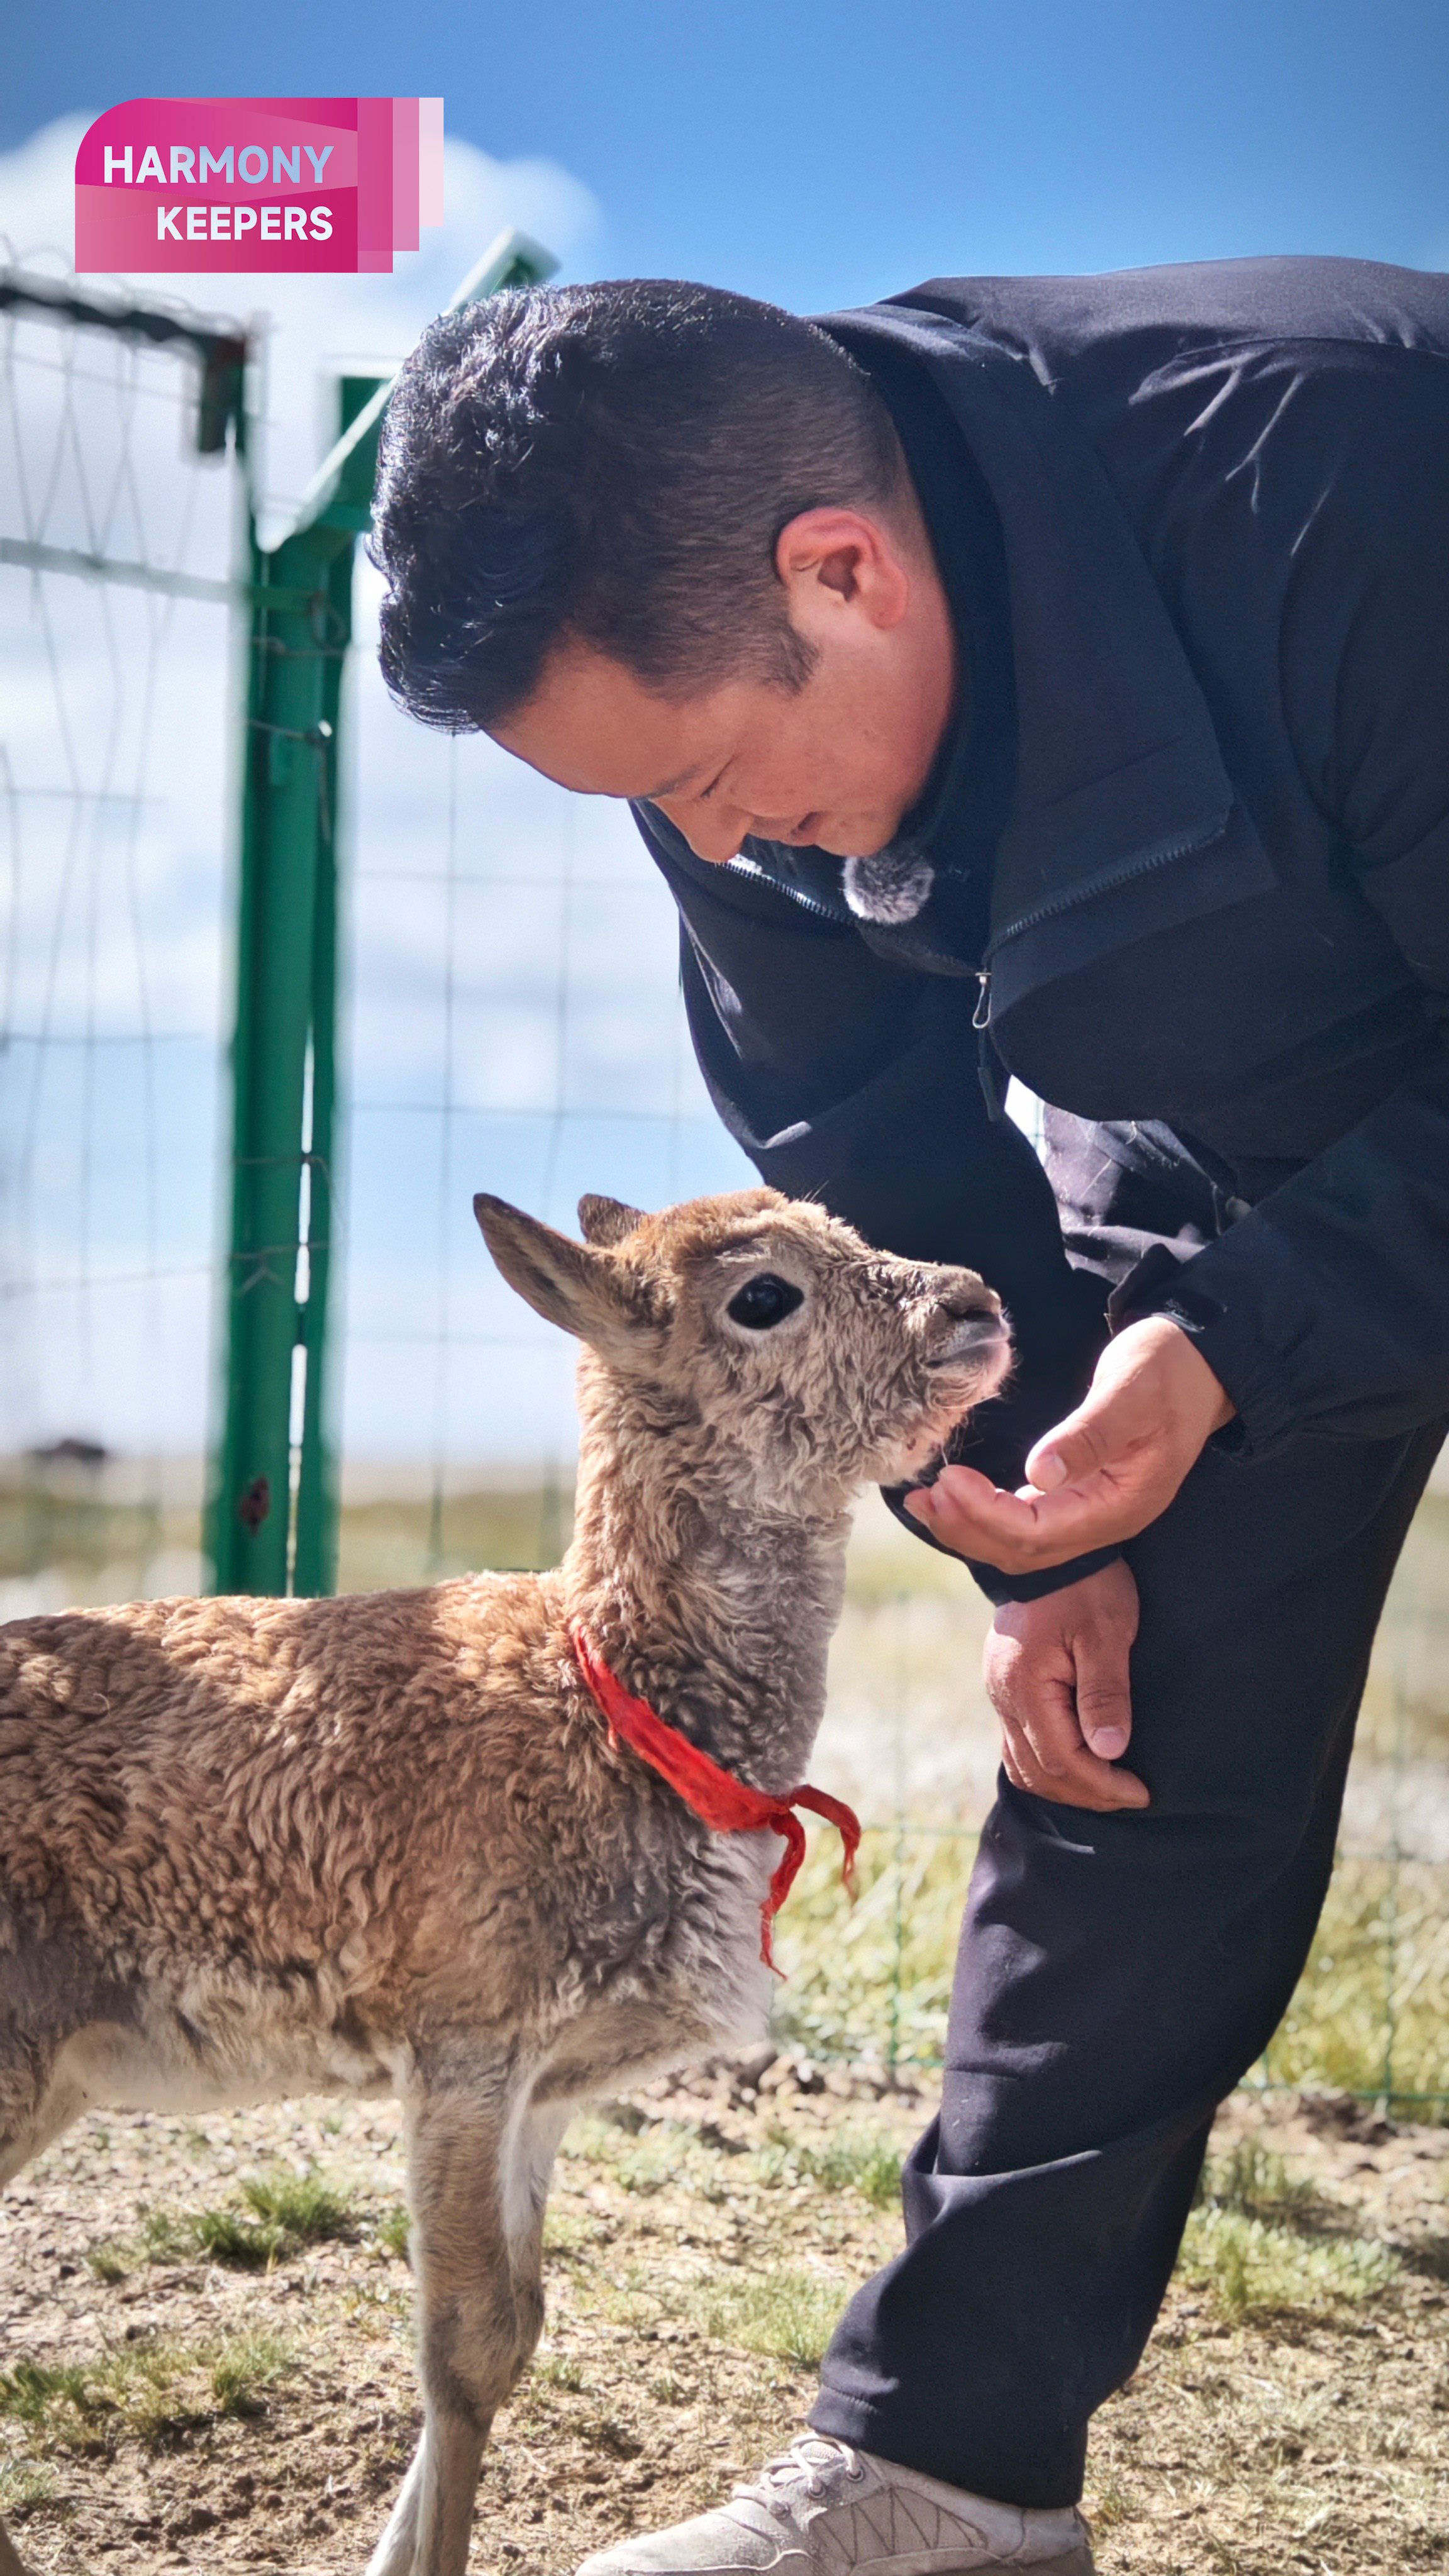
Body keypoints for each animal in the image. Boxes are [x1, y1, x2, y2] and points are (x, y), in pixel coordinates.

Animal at [0, 1185, 1005, 2576]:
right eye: (762, 1292)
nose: (976, 1302)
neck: (607, 1702)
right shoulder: (462, 2035)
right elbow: (466, 2345)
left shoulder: (549, 2080)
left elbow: (518, 2324)